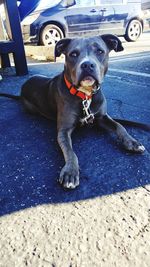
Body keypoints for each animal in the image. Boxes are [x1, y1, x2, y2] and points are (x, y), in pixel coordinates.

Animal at [0, 35, 145, 188]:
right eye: (73, 54)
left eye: (100, 51)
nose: (87, 65)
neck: (85, 95)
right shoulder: (63, 131)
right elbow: (70, 152)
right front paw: (70, 172)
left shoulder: (102, 117)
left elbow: (120, 126)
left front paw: (132, 142)